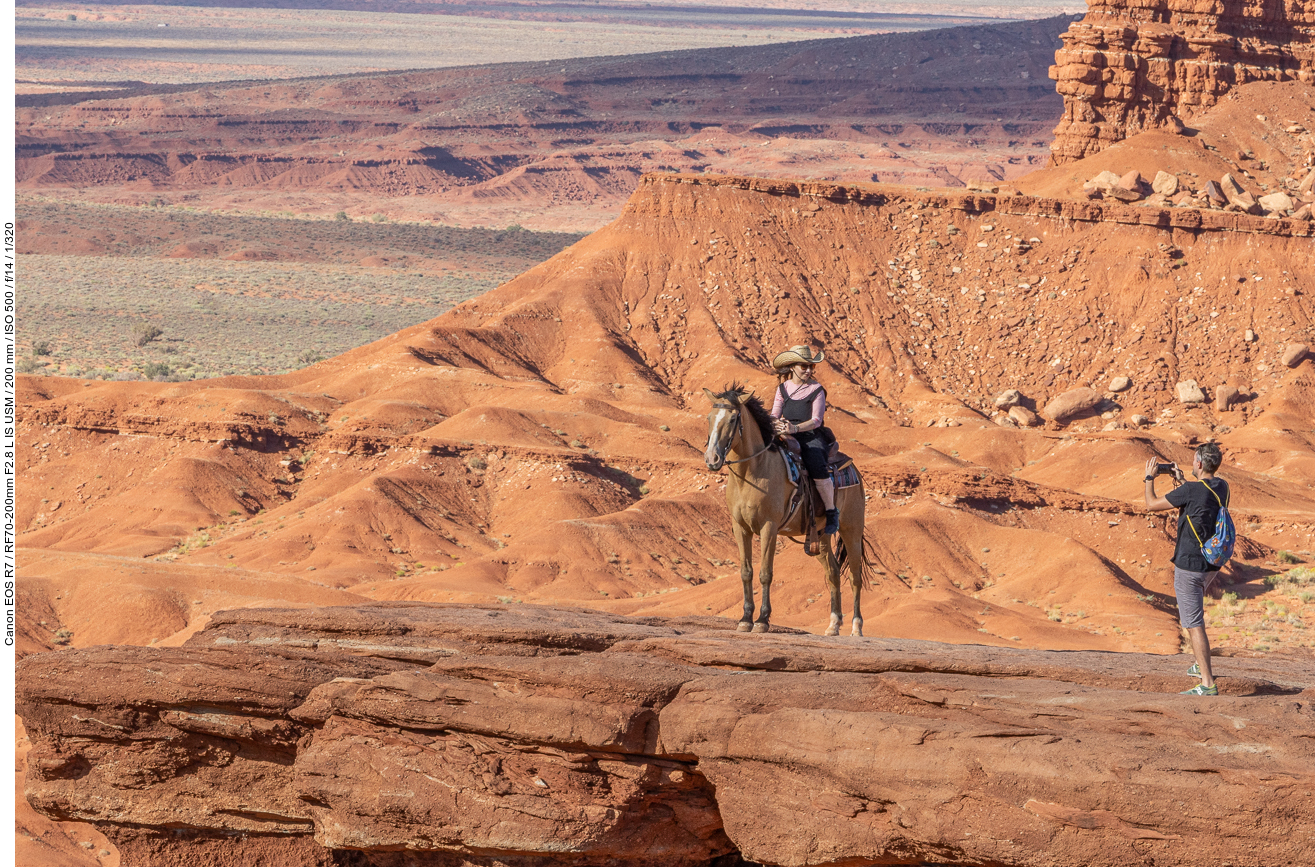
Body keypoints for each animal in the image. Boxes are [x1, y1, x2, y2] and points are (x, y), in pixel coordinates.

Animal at [699, 386, 873, 636]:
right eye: (709, 418)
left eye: (733, 419)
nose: (712, 459)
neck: (753, 471)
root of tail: (853, 469)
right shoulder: (740, 527)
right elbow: (746, 571)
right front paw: (745, 619)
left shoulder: (768, 527)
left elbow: (765, 573)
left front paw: (762, 620)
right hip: (820, 537)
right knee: (832, 573)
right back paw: (833, 625)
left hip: (852, 529)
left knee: (855, 576)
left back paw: (856, 627)